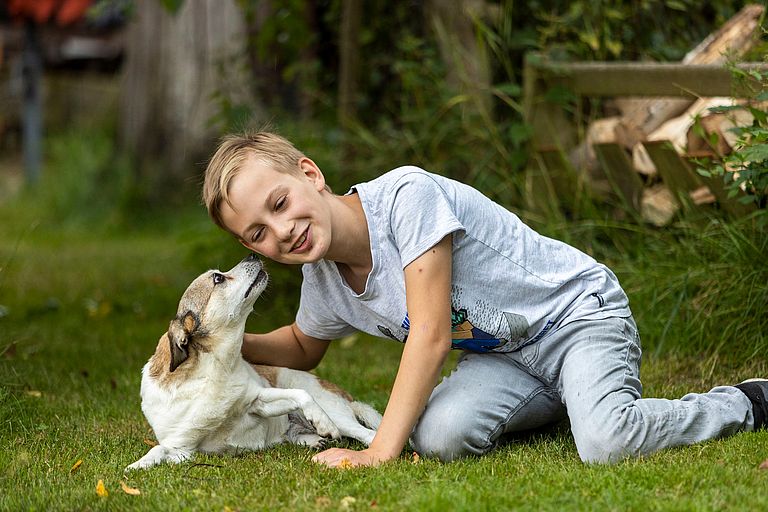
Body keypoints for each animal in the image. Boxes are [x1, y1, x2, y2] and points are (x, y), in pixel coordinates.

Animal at [126, 253, 384, 472]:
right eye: (218, 278)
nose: (252, 255)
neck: (216, 369)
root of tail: (349, 400)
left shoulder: (259, 400)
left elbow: (301, 396)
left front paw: (322, 422)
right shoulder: (182, 449)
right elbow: (158, 449)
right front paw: (138, 465)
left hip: (335, 411)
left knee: (366, 434)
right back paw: (314, 440)